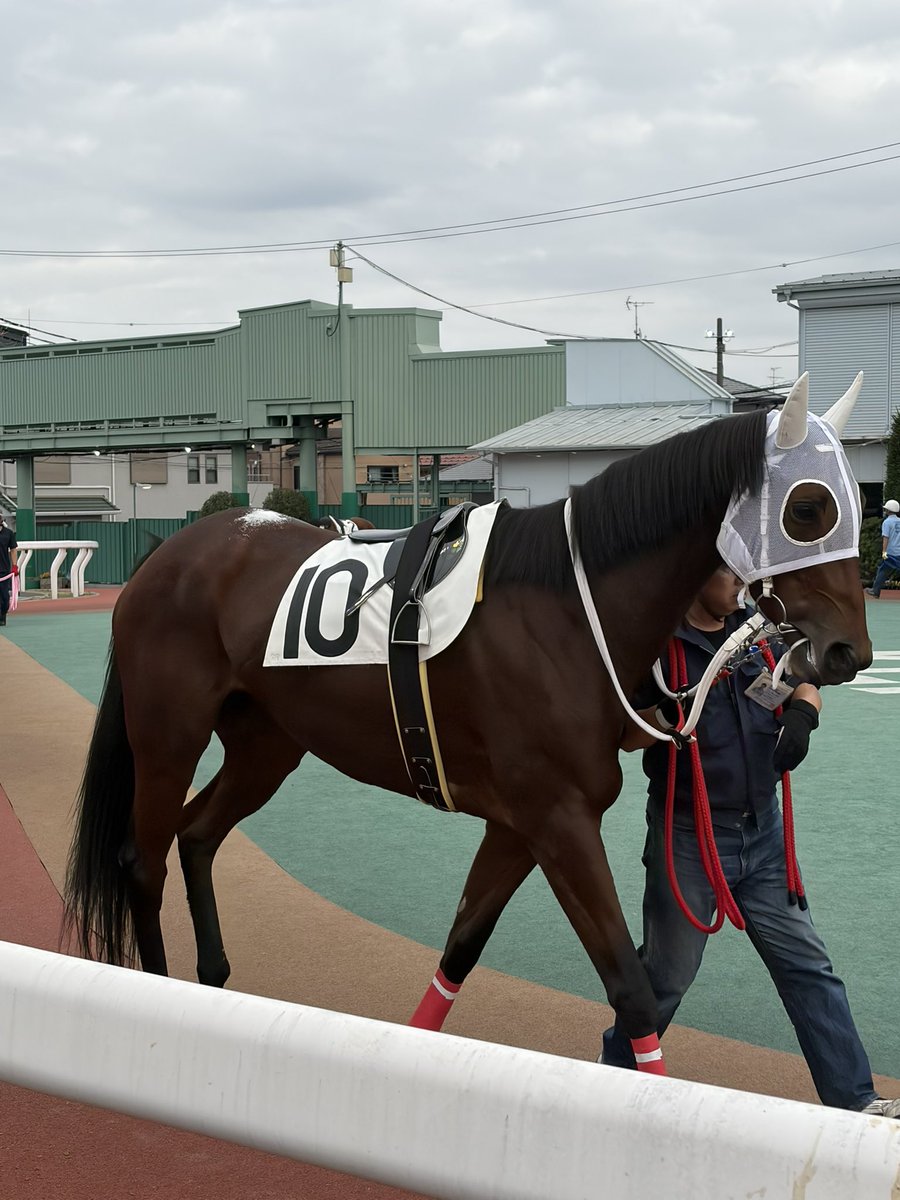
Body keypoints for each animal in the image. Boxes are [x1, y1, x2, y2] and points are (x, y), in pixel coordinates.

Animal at [64, 374, 871, 1073]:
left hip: (268, 743)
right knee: (143, 859)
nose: (849, 652)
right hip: (167, 735)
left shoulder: (519, 824)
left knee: (198, 836)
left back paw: (213, 977)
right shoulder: (558, 819)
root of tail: (165, 555)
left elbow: (461, 946)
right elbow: (632, 990)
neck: (565, 608)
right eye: (808, 508)